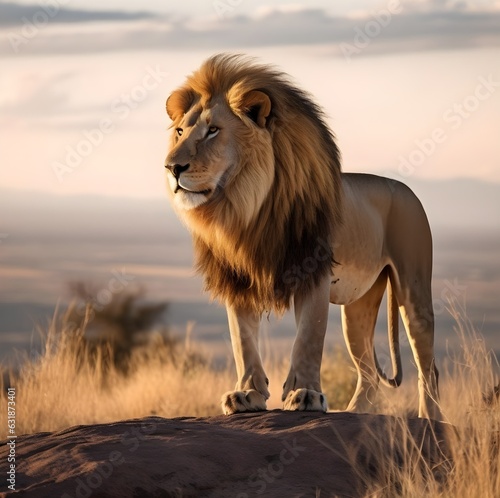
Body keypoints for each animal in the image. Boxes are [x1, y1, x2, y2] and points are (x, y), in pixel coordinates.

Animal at [165, 53, 442, 420]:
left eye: (213, 130)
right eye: (180, 131)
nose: (172, 168)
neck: (244, 210)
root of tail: (405, 188)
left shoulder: (313, 269)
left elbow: (309, 336)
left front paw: (306, 394)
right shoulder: (237, 279)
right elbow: (242, 340)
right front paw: (247, 394)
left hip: (414, 288)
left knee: (428, 367)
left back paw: (431, 420)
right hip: (358, 306)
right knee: (369, 373)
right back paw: (353, 413)